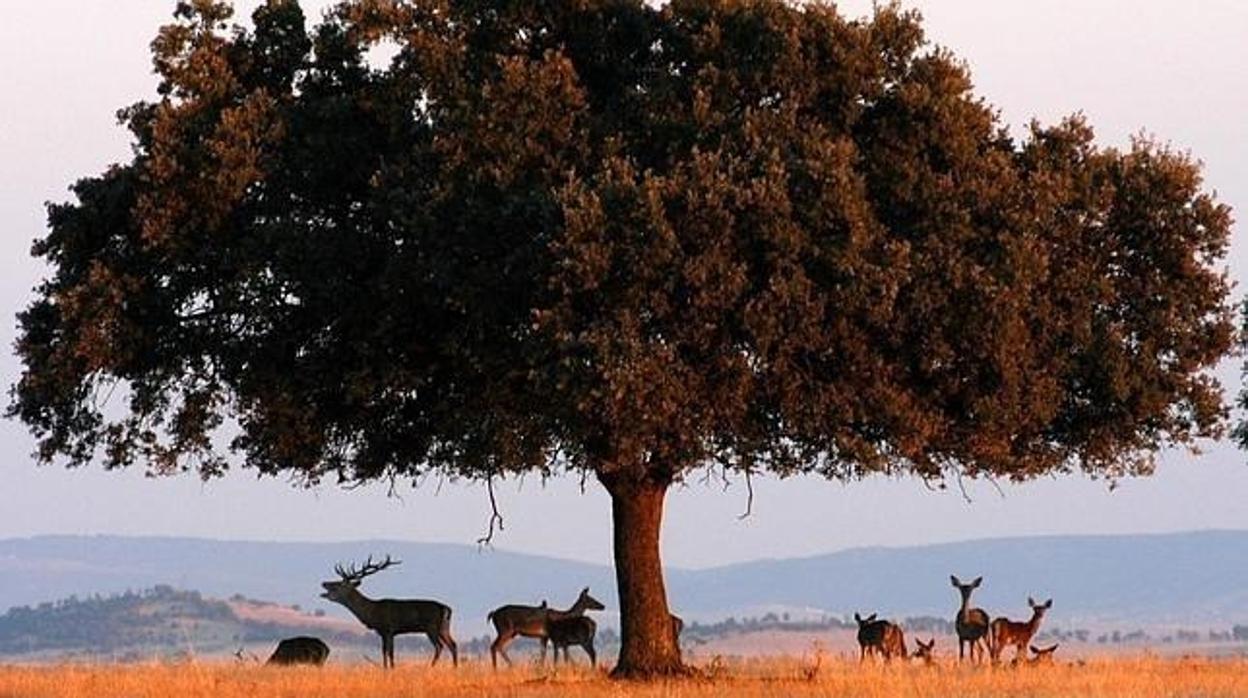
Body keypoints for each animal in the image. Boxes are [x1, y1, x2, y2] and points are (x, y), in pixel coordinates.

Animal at [319, 554, 461, 669]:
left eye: (339, 584)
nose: (324, 583)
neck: (371, 612)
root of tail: (446, 608)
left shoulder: (389, 629)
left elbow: (390, 652)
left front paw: (392, 669)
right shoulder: (382, 632)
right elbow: (384, 651)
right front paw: (385, 668)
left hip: (431, 627)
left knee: (440, 646)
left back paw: (431, 667)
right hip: (444, 628)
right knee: (453, 645)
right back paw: (454, 668)